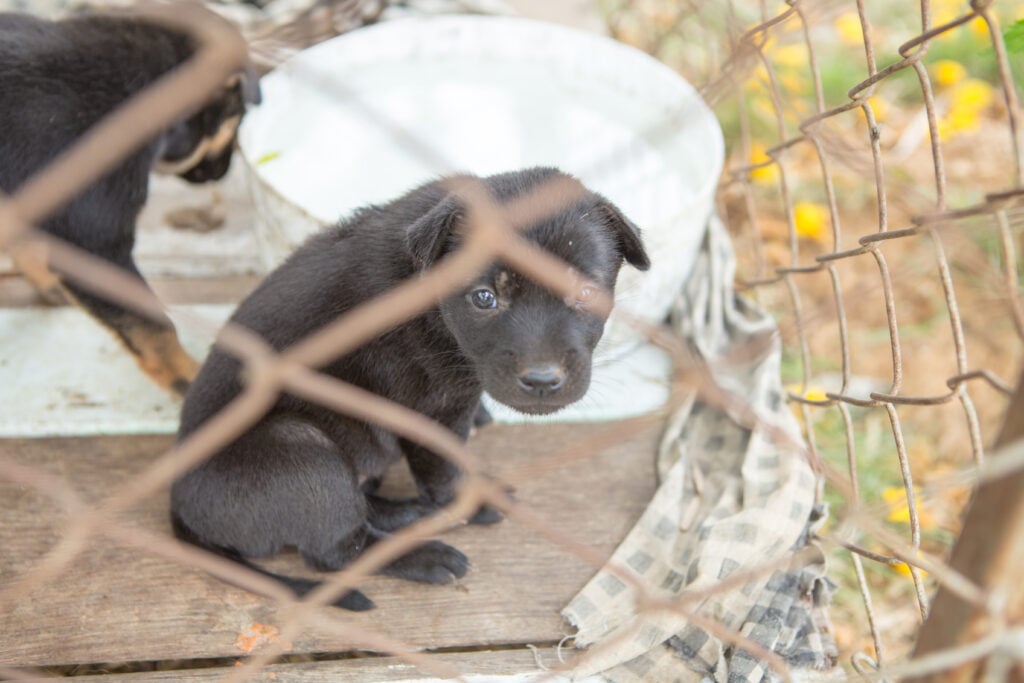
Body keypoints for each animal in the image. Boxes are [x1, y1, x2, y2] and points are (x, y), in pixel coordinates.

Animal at [0, 9, 256, 395]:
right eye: (233, 120)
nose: (224, 172)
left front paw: (45, 279)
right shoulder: (99, 244)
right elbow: (154, 325)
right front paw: (187, 378)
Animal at [167, 167, 647, 610]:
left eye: (585, 292)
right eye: (484, 298)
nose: (542, 379)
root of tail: (179, 503)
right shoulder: (430, 410)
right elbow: (445, 469)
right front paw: (470, 500)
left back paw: (408, 513)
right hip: (304, 454)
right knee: (335, 551)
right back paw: (423, 555)